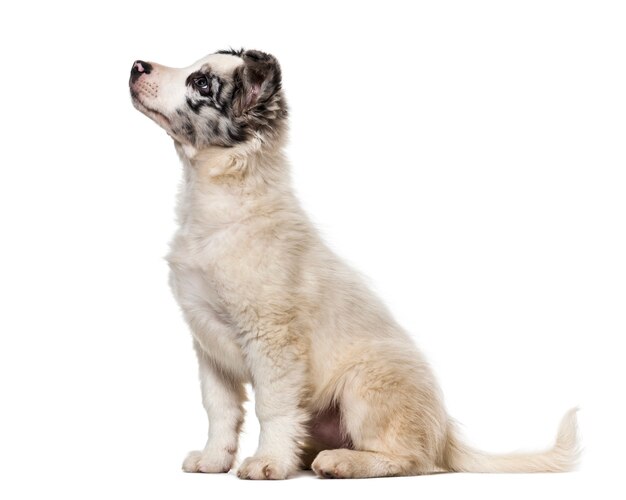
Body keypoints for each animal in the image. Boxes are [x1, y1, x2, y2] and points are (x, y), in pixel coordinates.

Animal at [129, 48, 576, 478]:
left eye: (201, 83)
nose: (136, 66)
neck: (217, 204)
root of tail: (445, 434)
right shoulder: (208, 344)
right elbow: (220, 410)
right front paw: (214, 459)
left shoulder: (272, 340)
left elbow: (272, 409)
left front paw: (268, 462)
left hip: (366, 384)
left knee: (411, 459)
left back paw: (343, 463)